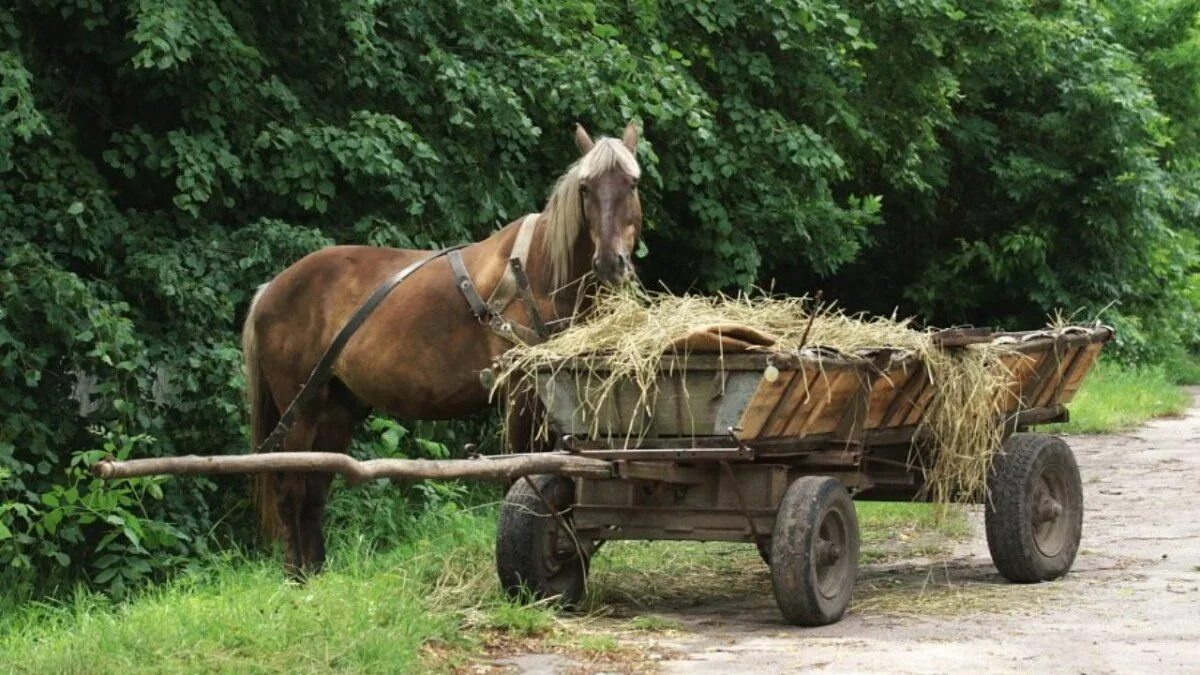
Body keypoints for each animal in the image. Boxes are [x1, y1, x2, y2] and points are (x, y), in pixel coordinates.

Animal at [242, 120, 648, 571]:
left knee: (315, 490)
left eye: (632, 183)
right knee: (292, 489)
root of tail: (270, 288)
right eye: (585, 188)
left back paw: (316, 575)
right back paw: (296, 576)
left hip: (336, 408)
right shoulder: (519, 392)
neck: (538, 274)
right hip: (302, 407)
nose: (610, 263)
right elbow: (521, 468)